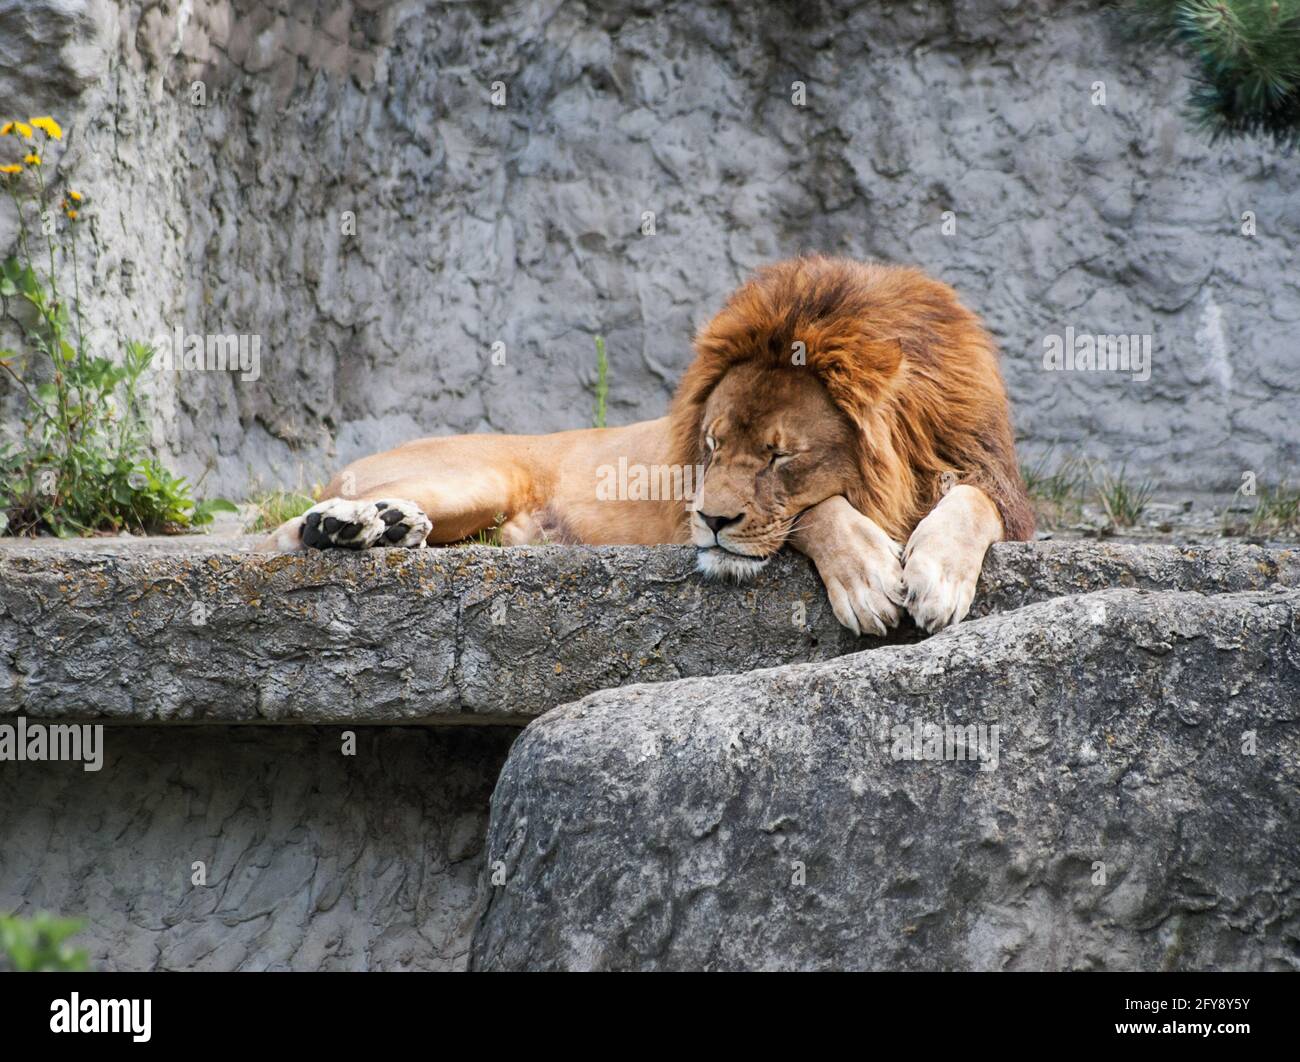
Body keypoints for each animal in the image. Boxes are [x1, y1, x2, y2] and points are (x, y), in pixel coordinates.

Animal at [266, 254, 1034, 636]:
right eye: (713, 445)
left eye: (780, 455)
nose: (711, 520)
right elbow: (816, 513)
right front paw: (870, 579)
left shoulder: (992, 479)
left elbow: (972, 504)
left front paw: (936, 577)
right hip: (477, 479)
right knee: (279, 533)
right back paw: (351, 525)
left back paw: (392, 527)